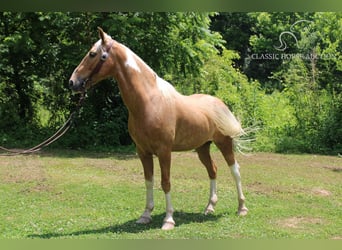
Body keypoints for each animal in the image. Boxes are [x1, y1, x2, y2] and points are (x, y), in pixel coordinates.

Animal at [68, 27, 248, 230]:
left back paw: (242, 208)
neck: (149, 102)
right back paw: (209, 207)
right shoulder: (143, 152)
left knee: (235, 170)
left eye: (92, 54)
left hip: (224, 142)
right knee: (213, 170)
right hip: (202, 147)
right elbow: (149, 181)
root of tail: (219, 103)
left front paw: (168, 220)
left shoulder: (164, 151)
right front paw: (145, 215)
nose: (72, 82)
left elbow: (165, 182)